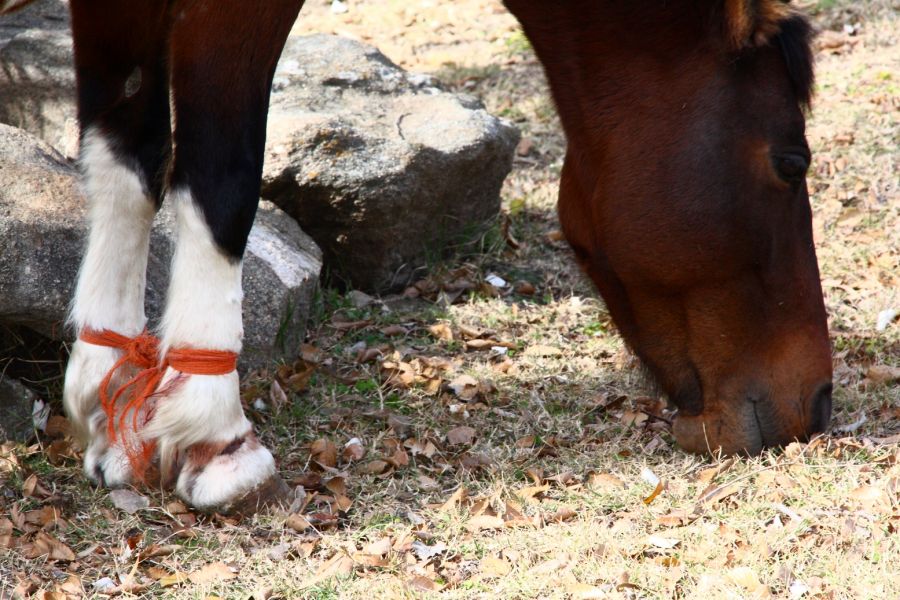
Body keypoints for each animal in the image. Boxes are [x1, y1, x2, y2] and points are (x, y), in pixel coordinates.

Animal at [0, 0, 828, 512]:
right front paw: (216, 436)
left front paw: (107, 395)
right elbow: (220, 179)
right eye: (792, 162)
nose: (816, 405)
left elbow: (126, 159)